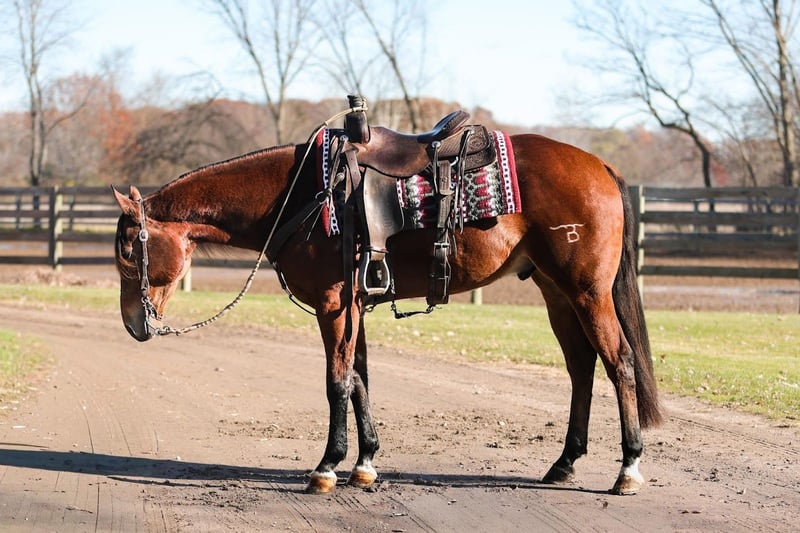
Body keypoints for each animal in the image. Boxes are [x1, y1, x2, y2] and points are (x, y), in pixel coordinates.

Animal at [112, 113, 663, 496]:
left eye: (127, 250)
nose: (135, 325)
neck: (303, 196)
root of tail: (599, 166)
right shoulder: (354, 306)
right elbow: (359, 379)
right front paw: (364, 464)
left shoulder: (333, 305)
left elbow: (337, 382)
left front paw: (327, 468)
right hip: (556, 294)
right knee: (582, 369)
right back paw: (564, 463)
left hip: (587, 293)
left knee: (620, 363)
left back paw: (628, 468)